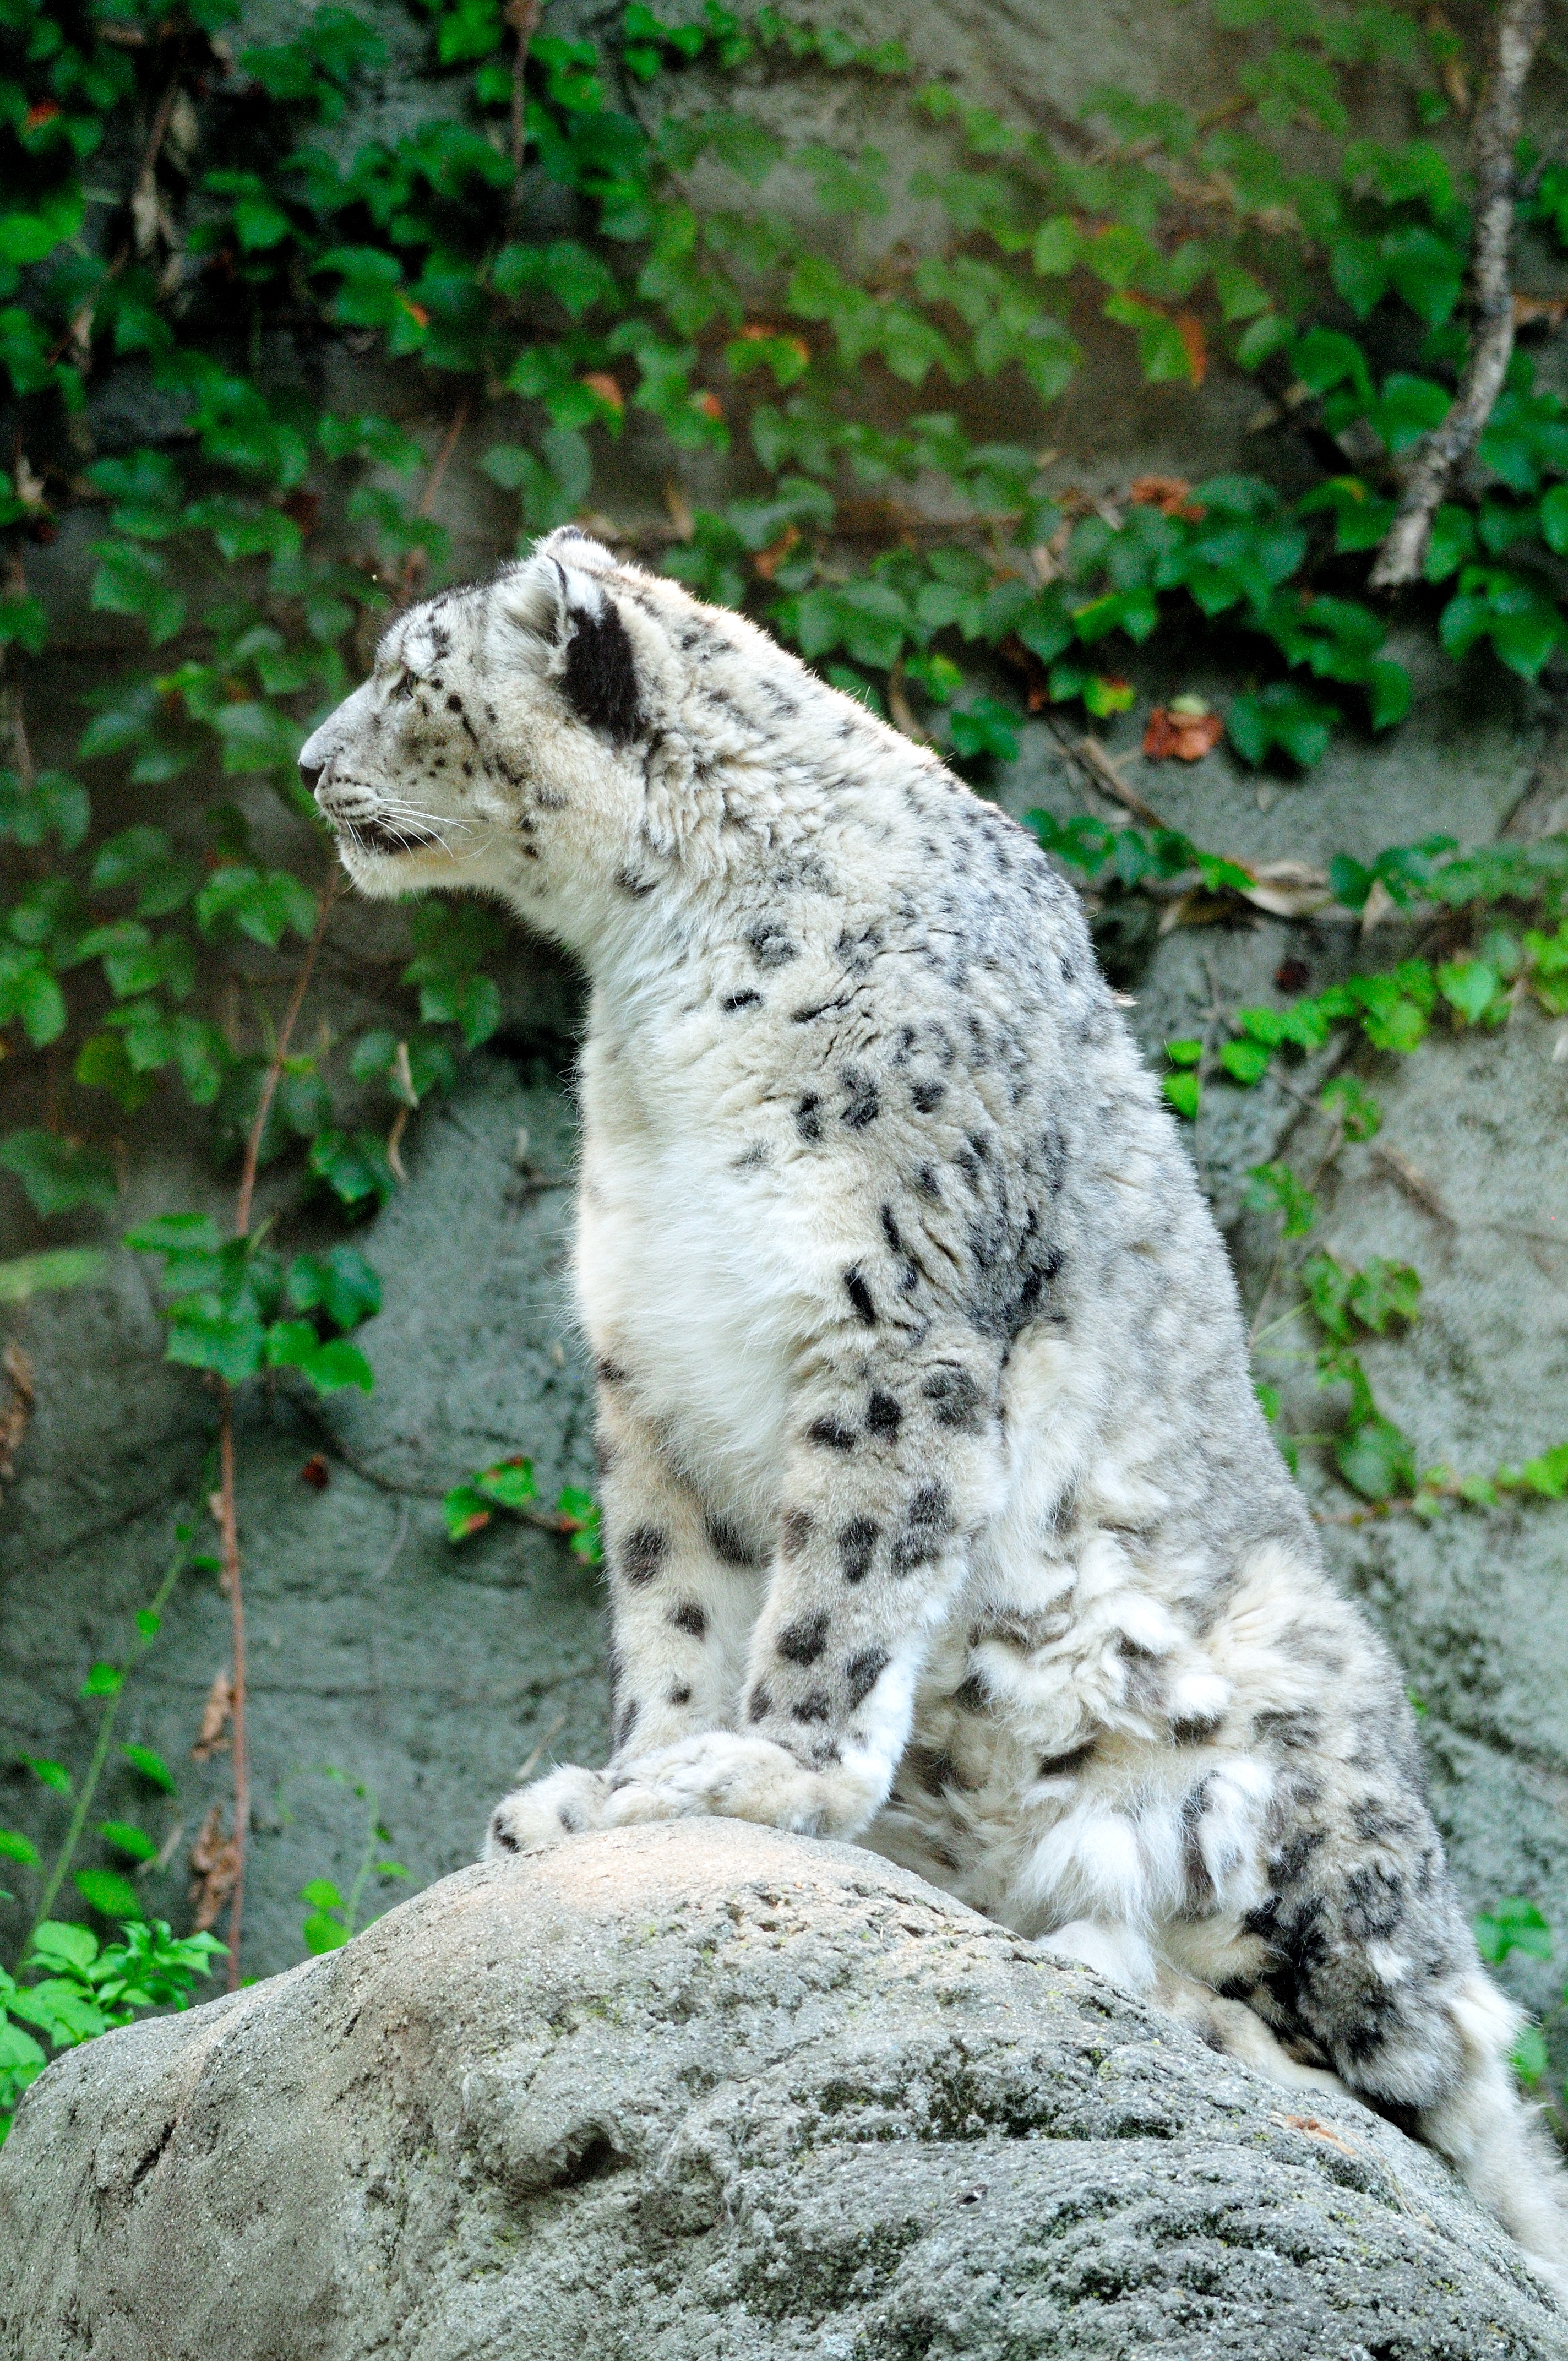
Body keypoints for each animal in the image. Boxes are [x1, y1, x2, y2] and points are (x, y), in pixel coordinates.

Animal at [298, 525, 1568, 2293]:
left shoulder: (894, 1323)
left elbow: (839, 1585)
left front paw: (762, 1777)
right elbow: (676, 1608)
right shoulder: (650, 1363)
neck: (651, 996)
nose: (308, 767)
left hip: (1302, 1798)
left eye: (414, 676)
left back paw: (1157, 1986)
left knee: (1430, 2086)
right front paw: (619, 1787)